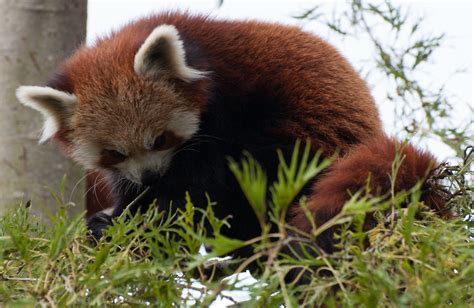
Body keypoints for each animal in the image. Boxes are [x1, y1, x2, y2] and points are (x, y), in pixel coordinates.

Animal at [13, 13, 444, 250]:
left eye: (160, 139)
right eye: (114, 153)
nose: (150, 175)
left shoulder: (222, 110)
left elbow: (202, 181)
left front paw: (155, 217)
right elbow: (131, 190)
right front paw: (118, 218)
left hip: (306, 142)